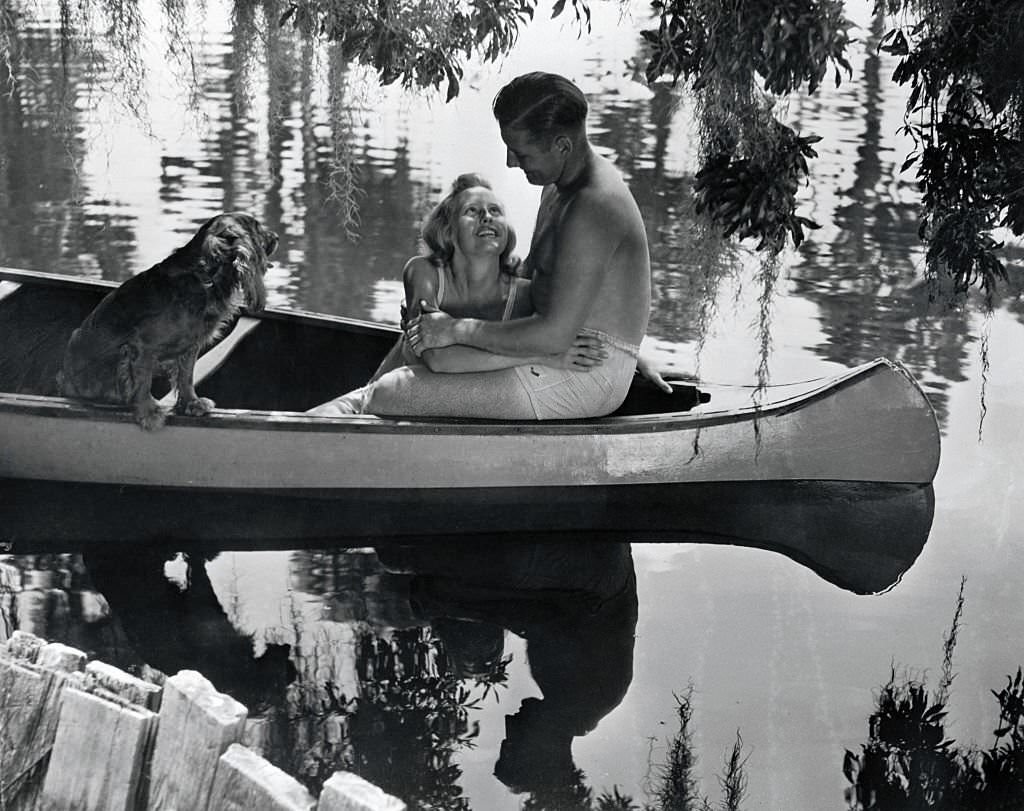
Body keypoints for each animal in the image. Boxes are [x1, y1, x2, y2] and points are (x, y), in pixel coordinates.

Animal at [59, 214, 276, 430]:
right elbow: (143, 380)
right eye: (257, 229)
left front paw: (191, 403)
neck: (205, 277)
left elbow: (186, 377)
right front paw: (149, 412)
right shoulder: (142, 346)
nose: (276, 237)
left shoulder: (190, 346)